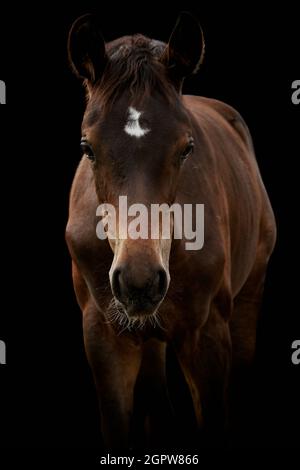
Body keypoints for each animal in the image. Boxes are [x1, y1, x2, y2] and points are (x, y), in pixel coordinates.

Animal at [65, 12, 276, 450]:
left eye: (186, 148)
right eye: (87, 147)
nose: (139, 281)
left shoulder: (208, 336)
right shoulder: (103, 336)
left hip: (250, 295)